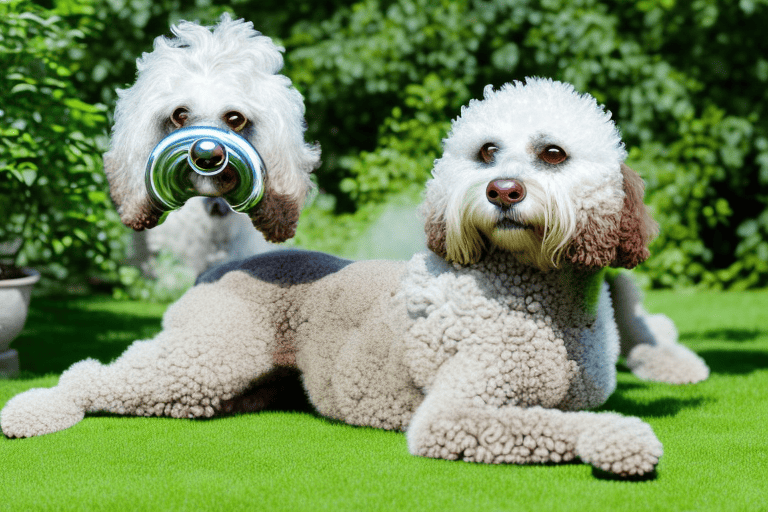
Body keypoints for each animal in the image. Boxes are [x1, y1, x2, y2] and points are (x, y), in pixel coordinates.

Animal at [1, 76, 708, 476]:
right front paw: (621, 439)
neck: (536, 298)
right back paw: (36, 411)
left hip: (212, 384)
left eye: (553, 154)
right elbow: (553, 425)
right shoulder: (458, 412)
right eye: (486, 152)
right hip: (209, 357)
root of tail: (225, 264)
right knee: (88, 374)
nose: (501, 190)